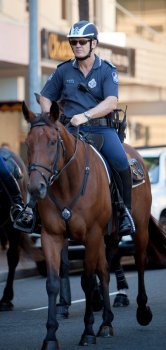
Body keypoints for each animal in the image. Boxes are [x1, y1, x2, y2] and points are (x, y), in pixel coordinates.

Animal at [23, 101, 153, 350]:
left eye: (52, 142)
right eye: (28, 143)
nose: (36, 187)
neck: (68, 183)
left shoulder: (91, 235)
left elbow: (87, 281)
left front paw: (88, 331)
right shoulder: (52, 236)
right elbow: (53, 282)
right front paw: (51, 336)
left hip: (139, 230)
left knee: (141, 263)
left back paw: (142, 310)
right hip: (109, 237)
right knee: (105, 270)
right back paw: (107, 323)